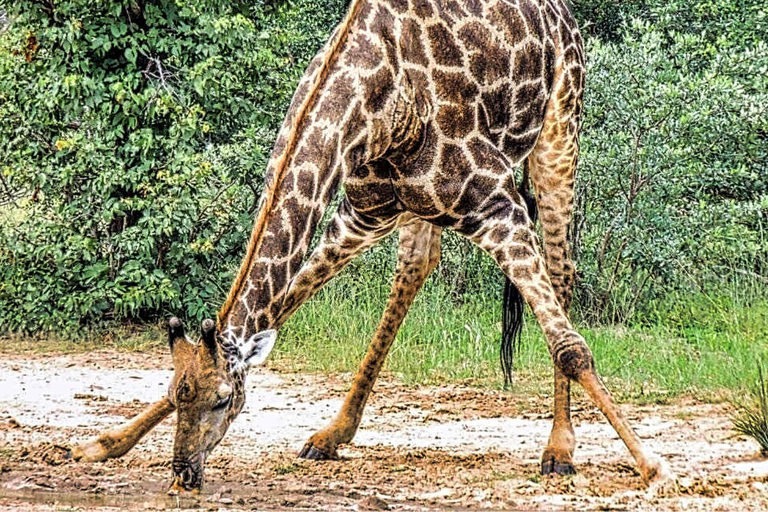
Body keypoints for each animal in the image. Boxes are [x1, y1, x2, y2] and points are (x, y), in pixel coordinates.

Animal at [69, 0, 676, 494]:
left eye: (223, 399)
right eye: (178, 396)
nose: (184, 474)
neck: (378, 104)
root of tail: (562, 13)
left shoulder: (497, 205)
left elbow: (571, 347)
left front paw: (653, 467)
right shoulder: (360, 214)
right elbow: (282, 305)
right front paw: (104, 443)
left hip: (558, 134)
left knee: (562, 269)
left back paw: (559, 448)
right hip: (419, 210)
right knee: (416, 267)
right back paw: (333, 432)